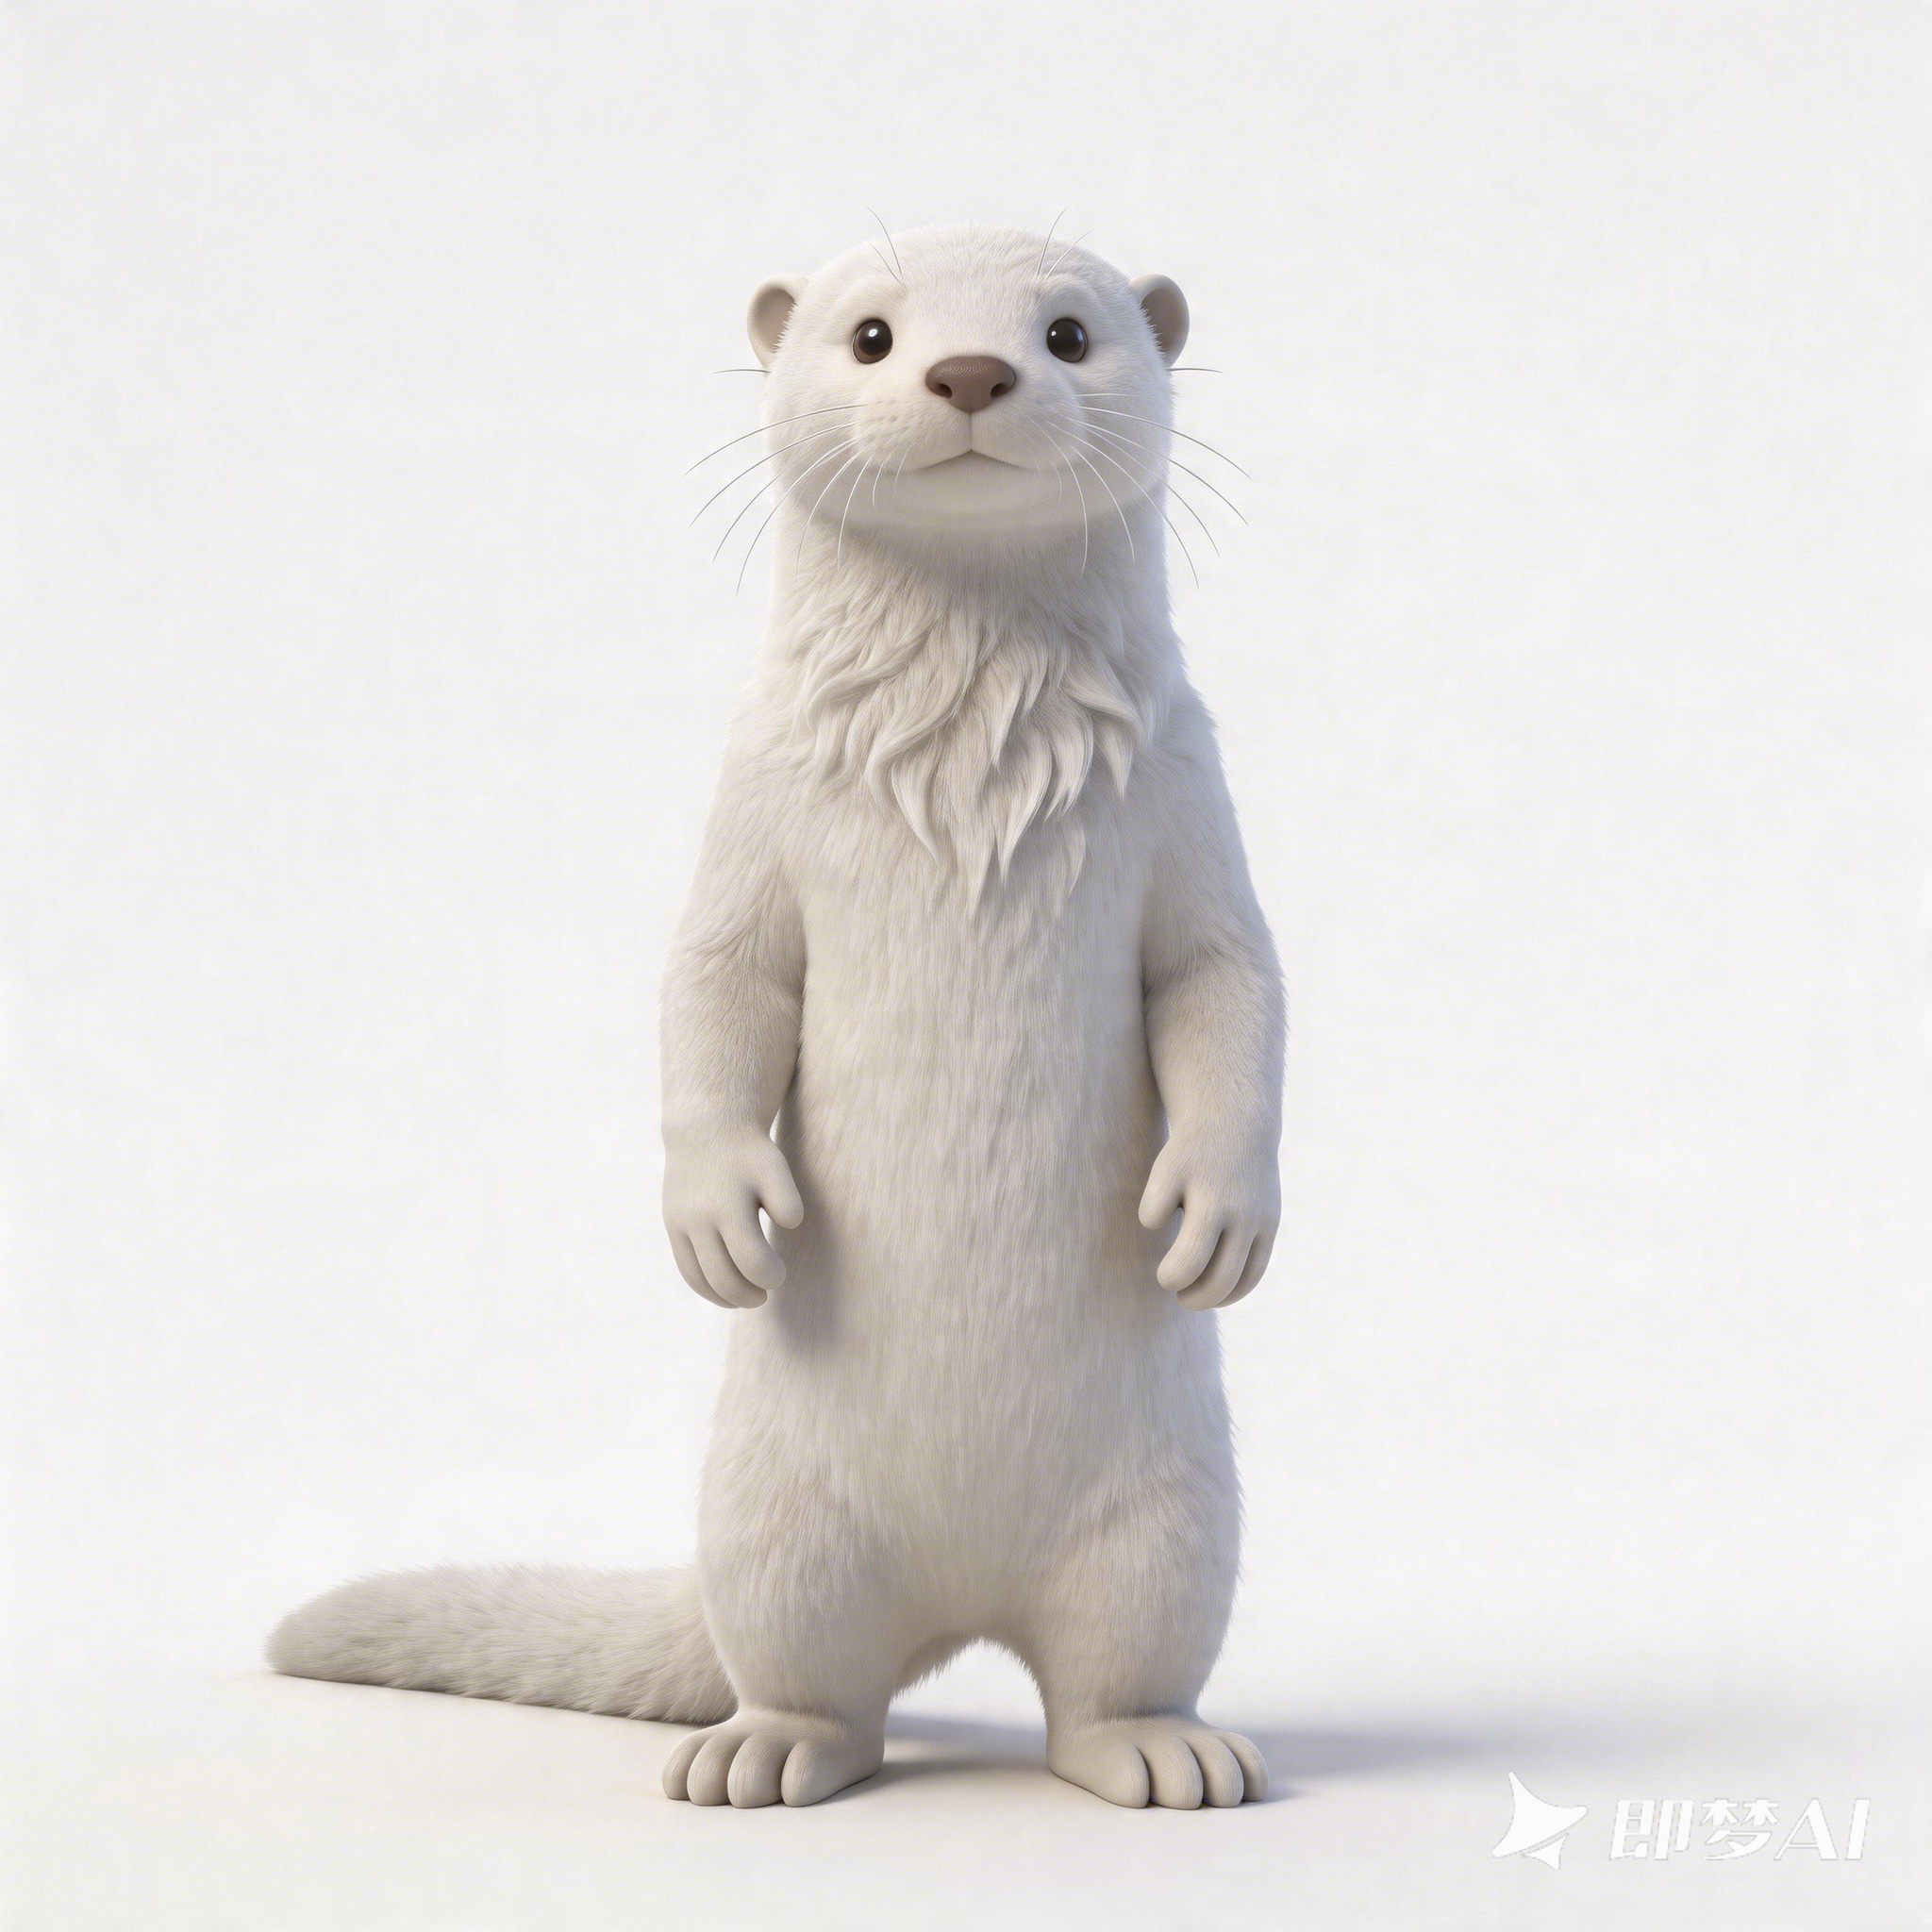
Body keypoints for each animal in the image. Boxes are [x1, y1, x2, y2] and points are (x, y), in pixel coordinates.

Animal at [271, 225, 1286, 1810]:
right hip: (774, 1521)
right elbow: (712, 985)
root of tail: (961, 1611)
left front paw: (1215, 1218)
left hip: (1170, 1521)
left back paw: (1162, 1751)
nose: (969, 370)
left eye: (1068, 332)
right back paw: (765, 1753)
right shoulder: (753, 797)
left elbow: (1228, 983)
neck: (970, 773)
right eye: (869, 334)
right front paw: (719, 1218)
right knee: (813, 1670)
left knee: (1114, 1666)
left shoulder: (1187, 789)